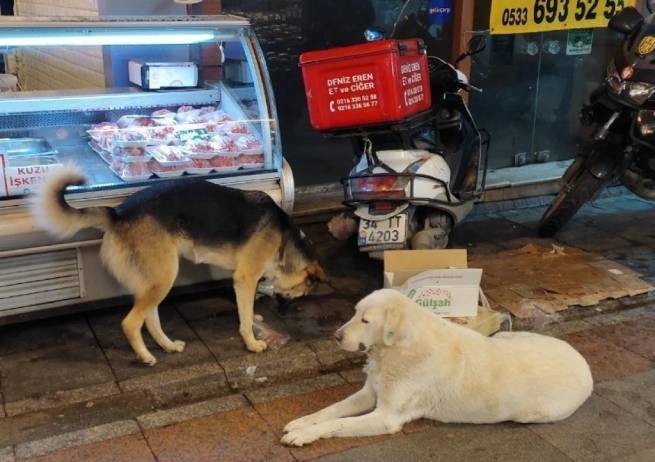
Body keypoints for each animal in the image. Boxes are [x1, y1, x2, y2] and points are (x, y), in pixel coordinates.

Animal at [33, 166, 326, 364]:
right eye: (300, 294)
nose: (285, 312)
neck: (285, 240)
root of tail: (119, 213)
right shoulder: (245, 277)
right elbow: (245, 314)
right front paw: (252, 342)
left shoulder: (244, 278)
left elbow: (249, 303)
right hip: (164, 276)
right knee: (131, 322)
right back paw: (146, 356)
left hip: (156, 278)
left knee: (150, 318)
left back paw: (167, 346)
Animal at [282, 290, 596, 446]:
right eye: (354, 312)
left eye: (366, 320)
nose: (335, 336)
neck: (396, 350)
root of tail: (586, 366)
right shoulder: (370, 393)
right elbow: (331, 410)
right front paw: (302, 422)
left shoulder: (386, 416)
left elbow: (338, 423)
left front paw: (304, 435)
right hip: (508, 336)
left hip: (533, 414)